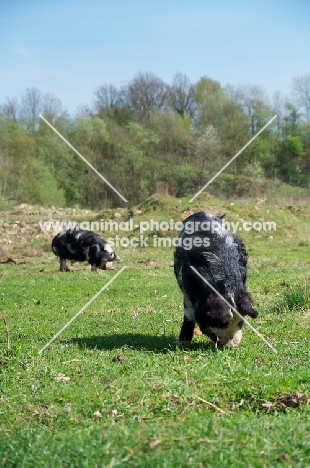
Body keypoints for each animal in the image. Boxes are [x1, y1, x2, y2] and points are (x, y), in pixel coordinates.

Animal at [173, 212, 258, 348]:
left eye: (241, 321)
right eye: (220, 324)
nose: (230, 346)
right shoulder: (186, 285)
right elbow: (189, 314)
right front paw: (181, 345)